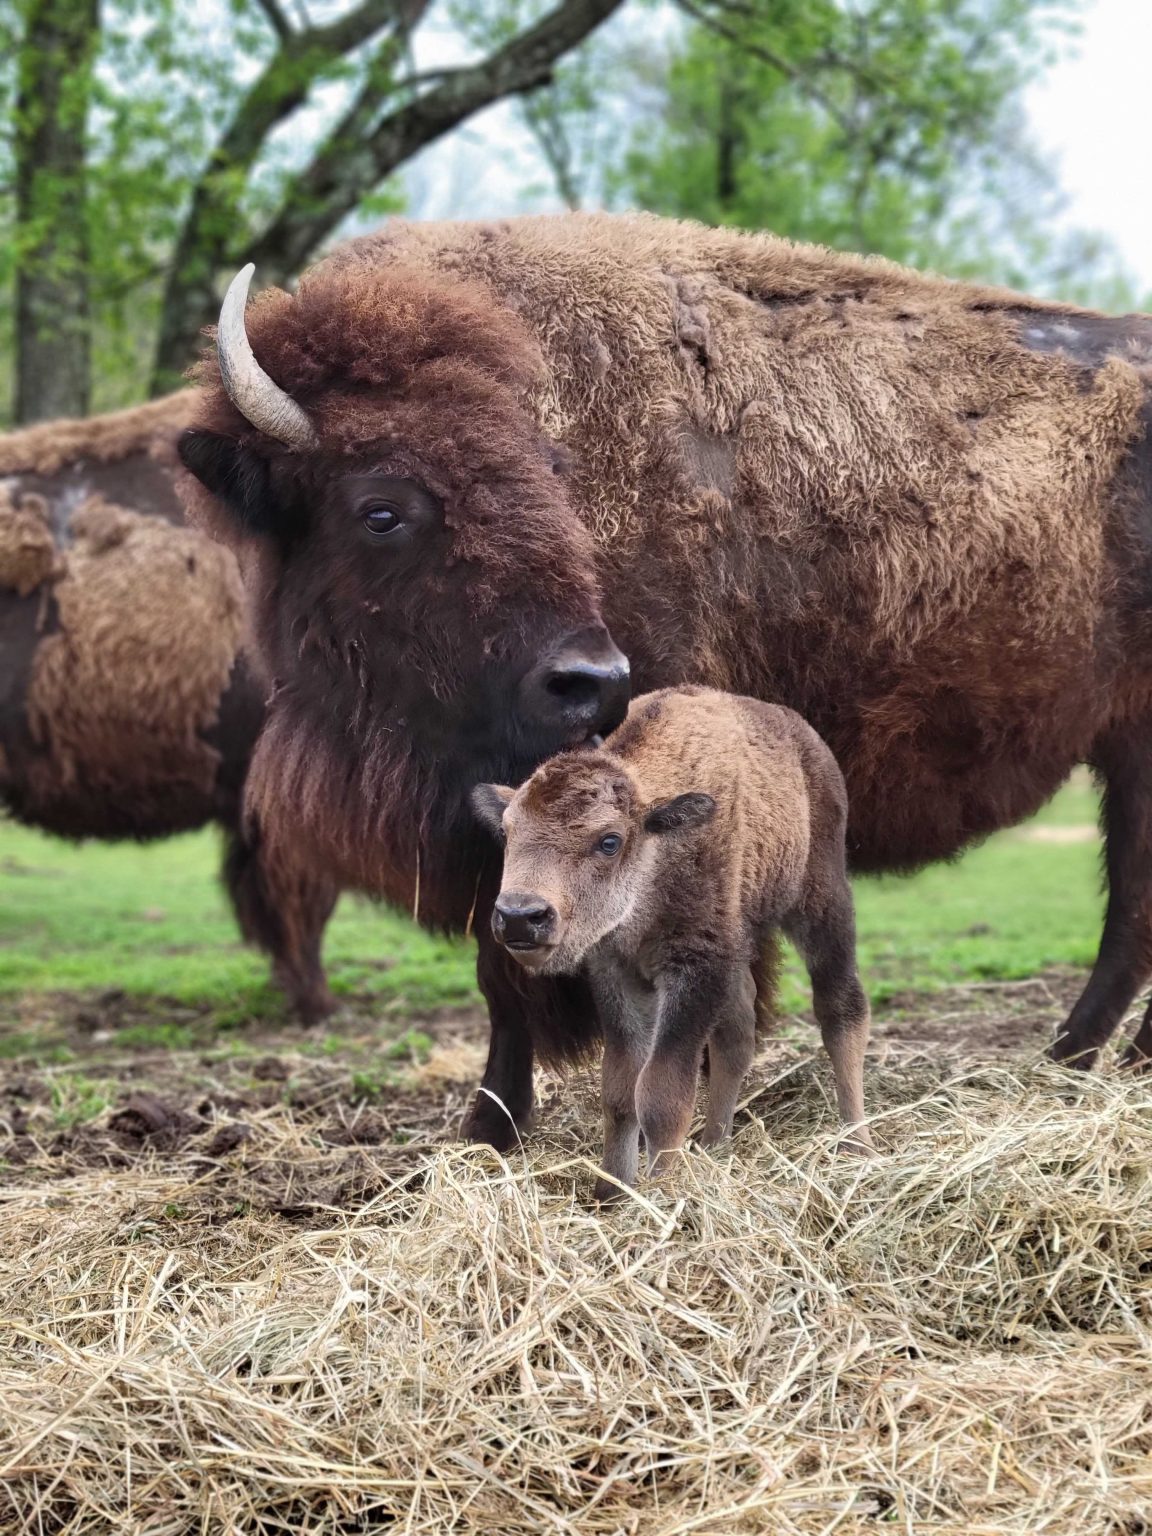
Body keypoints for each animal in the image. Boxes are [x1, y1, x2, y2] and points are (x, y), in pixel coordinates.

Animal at [473, 686, 873, 1198]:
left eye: (609, 841)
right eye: (507, 832)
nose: (520, 917)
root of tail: (809, 743)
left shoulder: (695, 971)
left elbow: (663, 1093)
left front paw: (664, 1191)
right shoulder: (617, 973)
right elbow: (620, 1090)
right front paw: (612, 1192)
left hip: (821, 903)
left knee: (841, 1009)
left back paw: (858, 1143)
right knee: (737, 1033)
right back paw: (716, 1144)